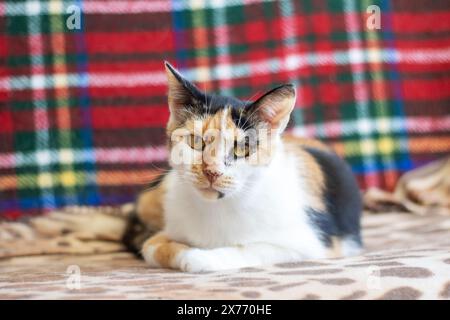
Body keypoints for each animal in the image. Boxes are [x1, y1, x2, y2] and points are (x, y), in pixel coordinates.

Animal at [123, 63, 362, 272]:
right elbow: (151, 247)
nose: (212, 172)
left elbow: (249, 250)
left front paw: (199, 257)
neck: (216, 208)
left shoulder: (313, 244)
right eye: (196, 142)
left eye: (242, 149)